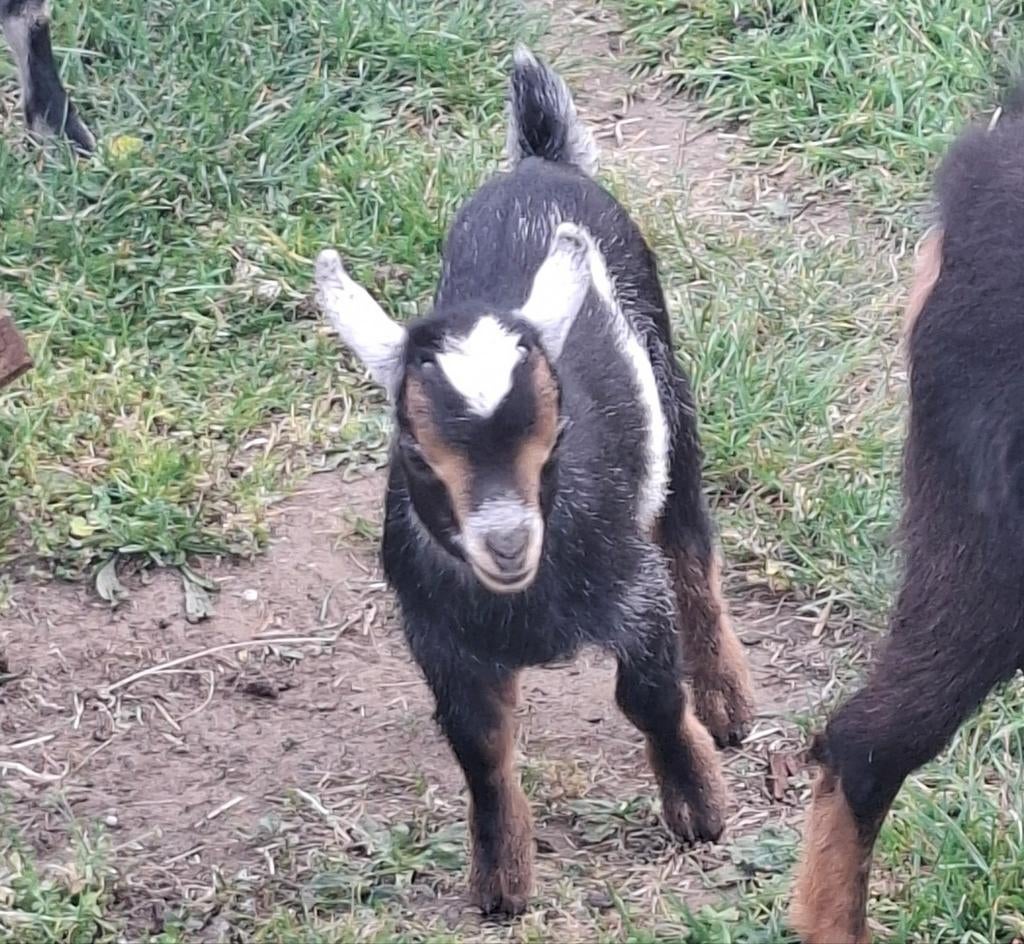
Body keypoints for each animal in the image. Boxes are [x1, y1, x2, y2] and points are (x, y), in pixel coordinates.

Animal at [313, 46, 755, 914]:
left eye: (556, 434)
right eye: (414, 447)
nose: (509, 542)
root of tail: (541, 161)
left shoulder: (636, 596)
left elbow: (651, 697)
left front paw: (699, 806)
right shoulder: (437, 634)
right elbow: (480, 746)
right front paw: (502, 879)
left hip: (675, 403)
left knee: (692, 544)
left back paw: (726, 700)